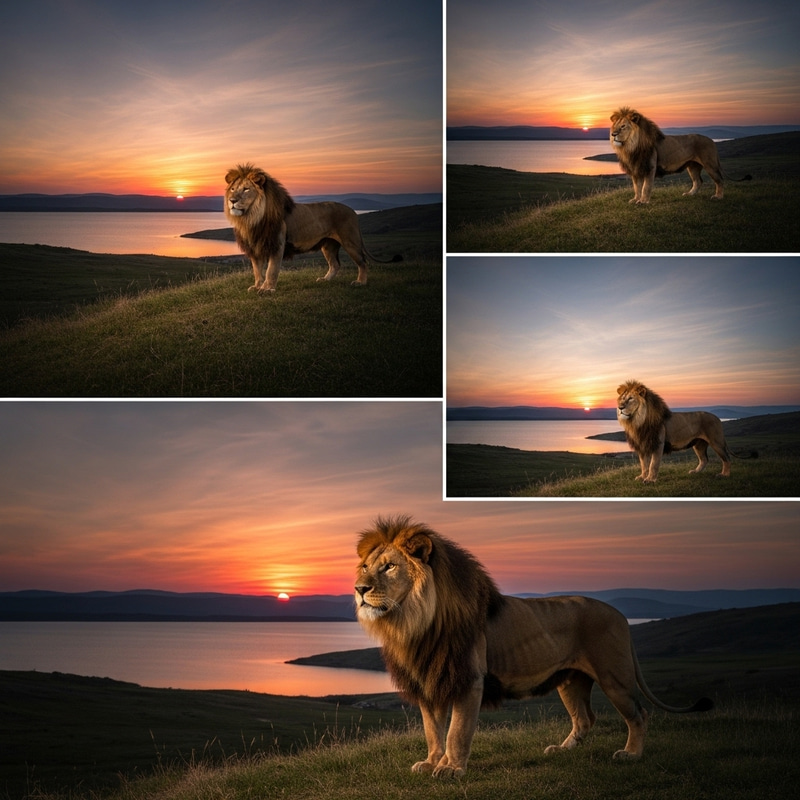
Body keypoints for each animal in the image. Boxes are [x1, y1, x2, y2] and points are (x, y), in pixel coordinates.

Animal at [224, 164, 400, 293]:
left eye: (246, 189)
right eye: (233, 189)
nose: (232, 200)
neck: (251, 218)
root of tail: (353, 211)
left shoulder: (277, 245)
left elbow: (271, 270)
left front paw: (267, 289)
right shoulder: (255, 247)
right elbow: (257, 270)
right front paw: (257, 286)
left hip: (350, 241)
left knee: (363, 262)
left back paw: (360, 282)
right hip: (328, 245)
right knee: (335, 264)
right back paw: (325, 280)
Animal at [355, 516, 712, 778]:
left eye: (389, 566)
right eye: (366, 567)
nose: (359, 589)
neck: (414, 623)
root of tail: (621, 615)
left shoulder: (468, 680)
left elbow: (457, 731)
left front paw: (451, 769)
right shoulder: (430, 680)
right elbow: (432, 729)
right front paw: (431, 762)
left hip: (616, 677)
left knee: (639, 714)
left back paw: (631, 754)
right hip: (570, 681)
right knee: (585, 718)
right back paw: (562, 749)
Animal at [616, 380, 756, 482]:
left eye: (630, 399)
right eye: (622, 398)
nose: (620, 407)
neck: (637, 421)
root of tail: (717, 418)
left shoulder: (658, 444)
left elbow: (653, 464)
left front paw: (650, 480)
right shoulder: (642, 445)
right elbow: (644, 464)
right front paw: (642, 477)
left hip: (716, 442)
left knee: (727, 458)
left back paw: (724, 475)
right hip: (699, 444)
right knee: (704, 459)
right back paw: (695, 472)